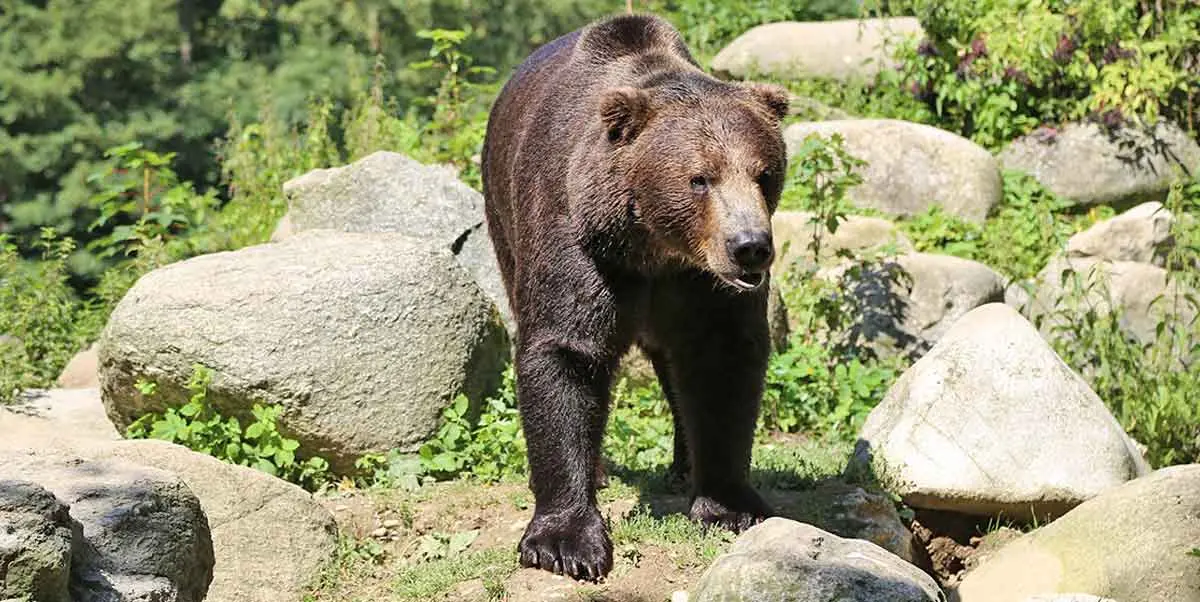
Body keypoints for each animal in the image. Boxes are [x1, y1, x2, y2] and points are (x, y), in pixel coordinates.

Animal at [477, 12, 787, 578]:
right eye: (700, 178)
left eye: (764, 173)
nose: (750, 247)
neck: (654, 248)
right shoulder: (578, 243)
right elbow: (565, 351)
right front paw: (566, 543)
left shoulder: (701, 287)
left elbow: (722, 363)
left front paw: (729, 505)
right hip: (502, 215)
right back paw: (599, 470)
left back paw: (684, 465)